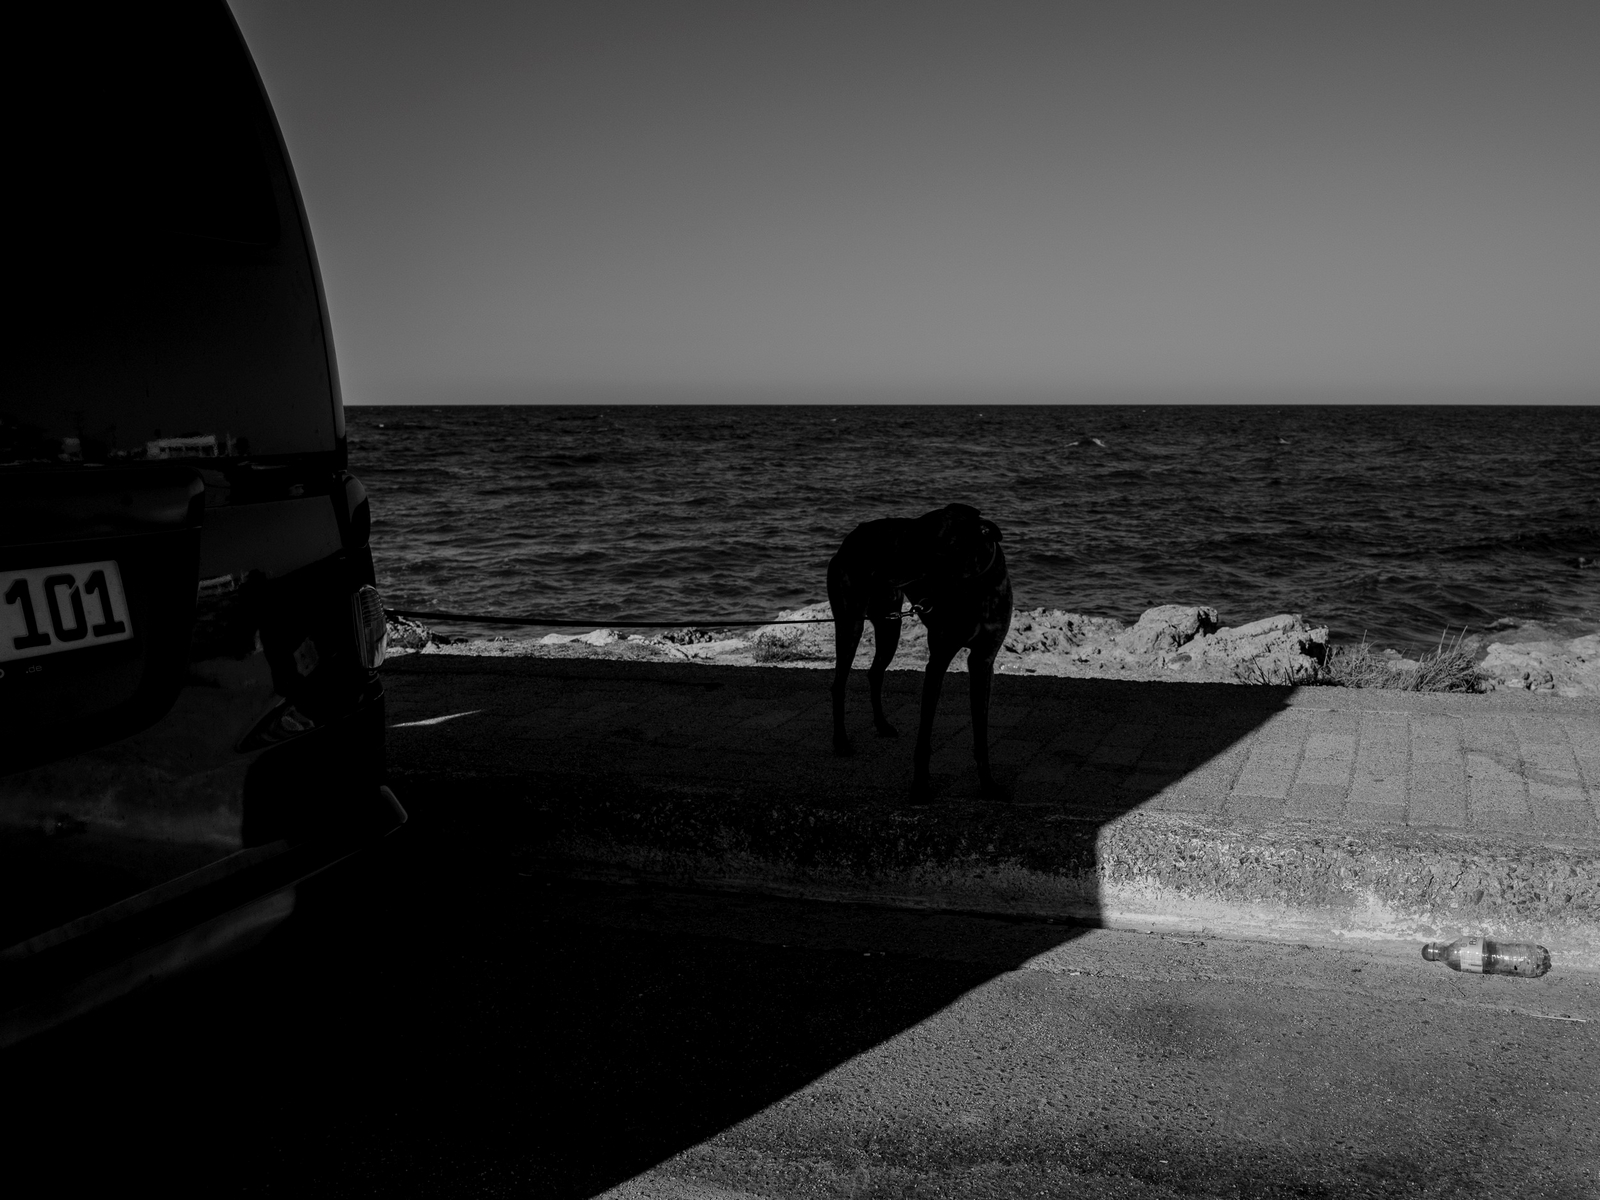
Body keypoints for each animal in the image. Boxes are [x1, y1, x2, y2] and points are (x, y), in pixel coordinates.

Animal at [827, 503, 1012, 801]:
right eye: (910, 536)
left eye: (929, 543)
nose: (882, 570)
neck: (974, 587)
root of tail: (850, 537)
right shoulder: (938, 660)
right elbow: (925, 733)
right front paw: (921, 785)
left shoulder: (983, 661)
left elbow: (981, 733)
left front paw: (988, 785)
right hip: (850, 623)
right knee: (839, 683)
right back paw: (841, 741)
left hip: (889, 624)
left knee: (875, 672)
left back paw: (882, 724)